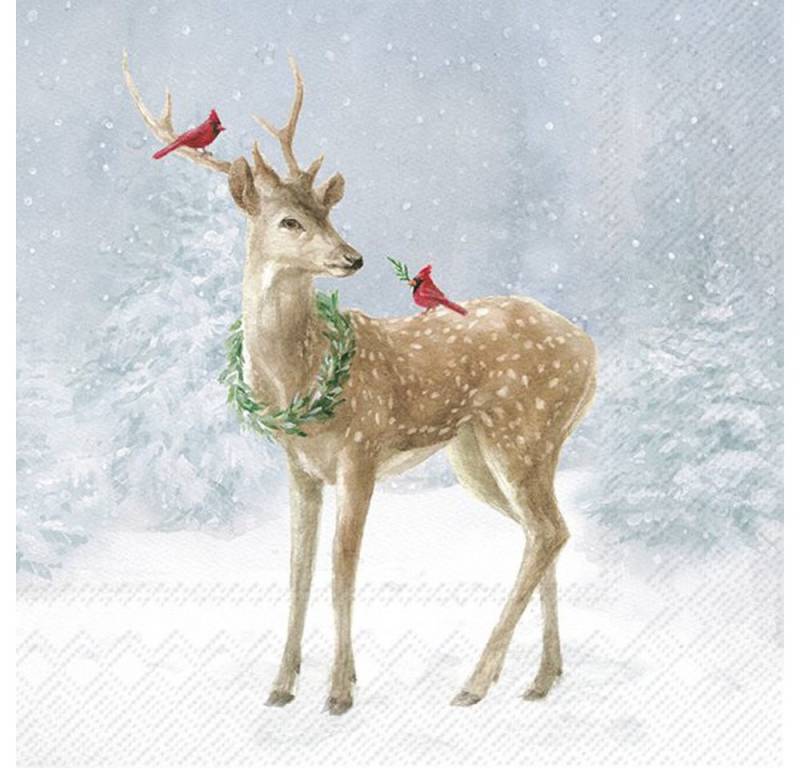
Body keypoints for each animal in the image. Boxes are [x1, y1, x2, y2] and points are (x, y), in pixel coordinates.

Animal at [123, 52, 597, 715]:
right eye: (290, 220)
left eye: (330, 213)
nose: (352, 257)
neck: (296, 381)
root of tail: (591, 352)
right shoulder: (300, 467)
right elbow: (297, 572)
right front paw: (281, 686)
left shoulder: (361, 451)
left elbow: (342, 569)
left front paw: (341, 690)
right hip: (486, 451)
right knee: (546, 532)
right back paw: (541, 677)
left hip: (521, 429)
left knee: (548, 530)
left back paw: (475, 682)